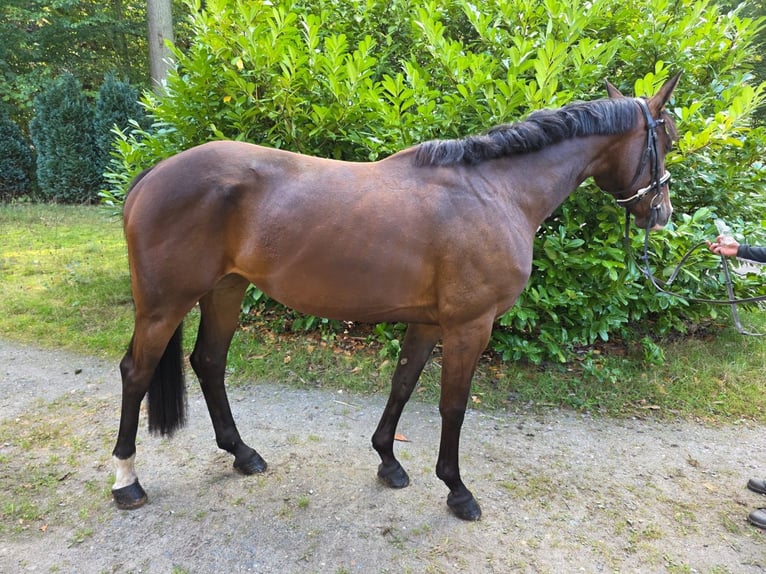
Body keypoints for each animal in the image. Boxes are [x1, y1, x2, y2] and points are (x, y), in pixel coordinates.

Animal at [111, 73, 680, 521]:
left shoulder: (427, 322)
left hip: (226, 291)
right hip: (164, 305)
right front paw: (457, 491)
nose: (662, 214)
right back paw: (127, 481)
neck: (497, 192)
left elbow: (403, 385)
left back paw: (243, 454)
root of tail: (153, 175)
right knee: (137, 373)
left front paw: (388, 461)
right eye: (669, 140)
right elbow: (453, 406)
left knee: (209, 362)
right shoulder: (470, 325)